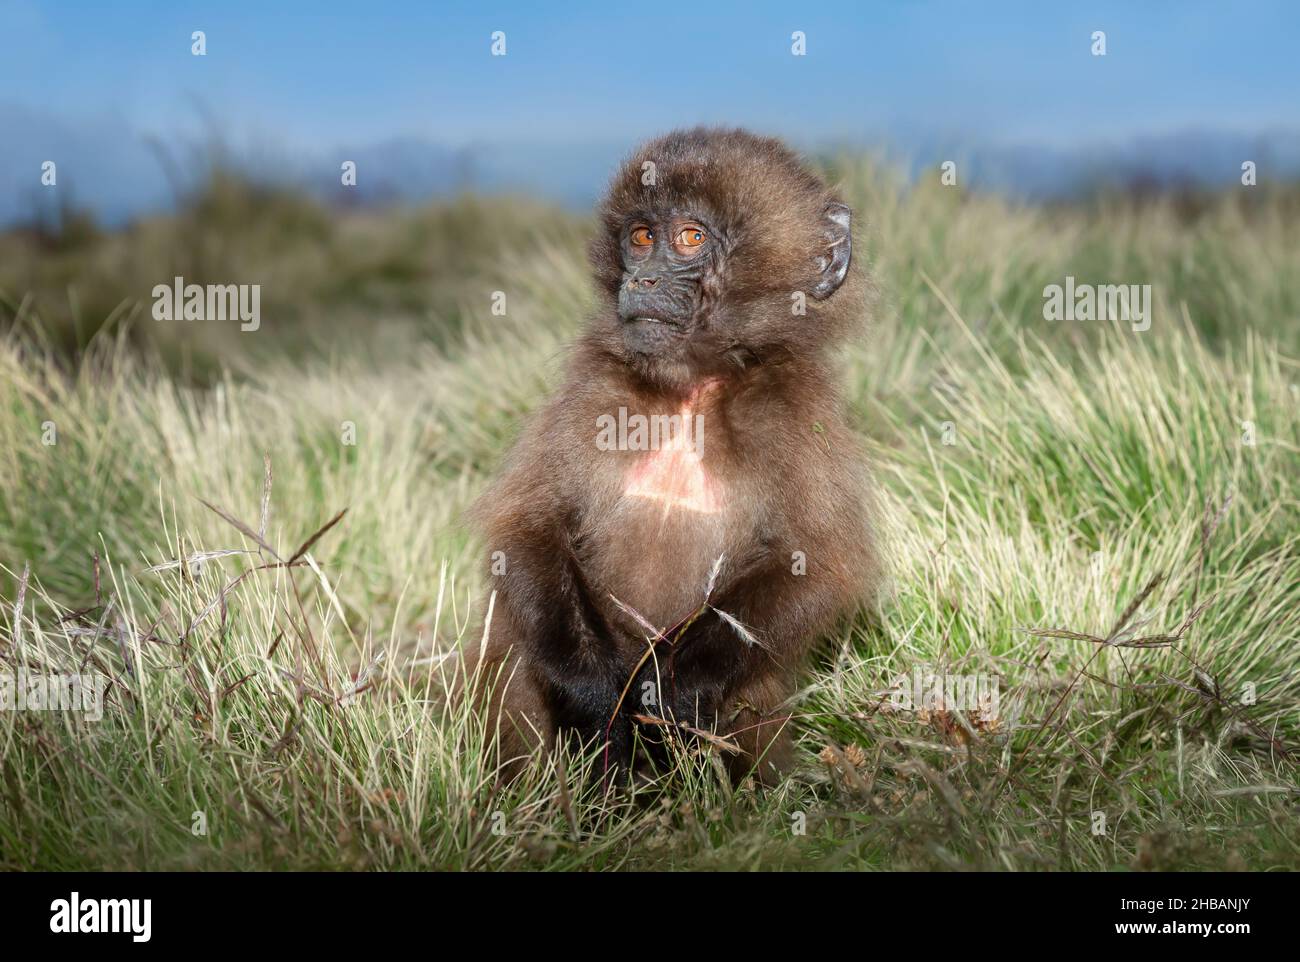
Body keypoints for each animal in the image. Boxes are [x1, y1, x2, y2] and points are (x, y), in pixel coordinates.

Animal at [464, 127, 879, 785]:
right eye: (640, 238)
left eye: (690, 238)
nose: (642, 284)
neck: (691, 388)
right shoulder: (597, 384)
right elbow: (528, 526)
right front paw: (593, 694)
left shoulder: (795, 406)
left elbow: (816, 566)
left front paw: (674, 689)